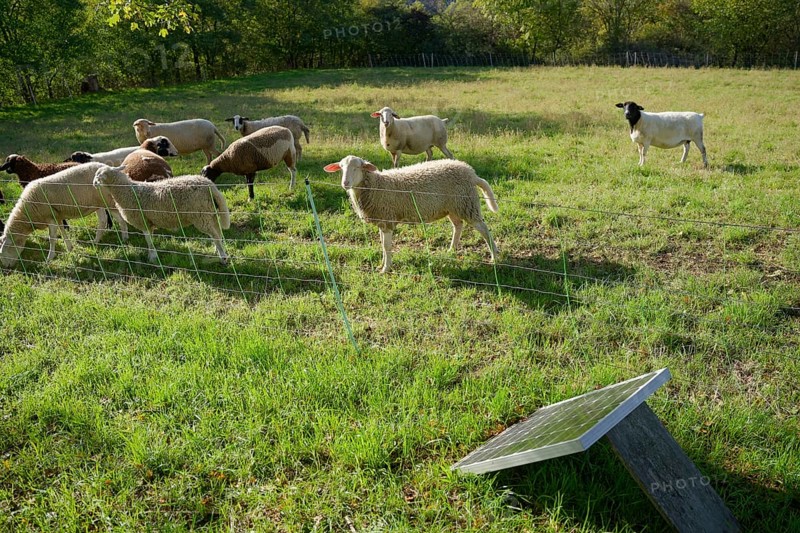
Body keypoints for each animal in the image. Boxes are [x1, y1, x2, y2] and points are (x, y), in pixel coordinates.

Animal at [92, 165, 231, 265]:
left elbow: (148, 240)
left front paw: (152, 258)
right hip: (210, 213)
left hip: (200, 215)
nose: (94, 184)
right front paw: (151, 256)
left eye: (99, 175)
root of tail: (209, 185)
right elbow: (150, 239)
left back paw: (223, 257)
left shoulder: (142, 220)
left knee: (215, 235)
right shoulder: (148, 222)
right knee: (218, 233)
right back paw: (217, 251)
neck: (127, 191)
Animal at [323, 156, 498, 273]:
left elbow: (387, 246)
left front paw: (386, 269)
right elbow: (382, 244)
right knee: (458, 226)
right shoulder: (381, 219)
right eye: (341, 167)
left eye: (357, 167)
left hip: (466, 203)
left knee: (483, 228)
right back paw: (451, 250)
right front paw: (381, 264)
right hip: (452, 206)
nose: (345, 183)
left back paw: (494, 256)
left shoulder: (387, 219)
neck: (375, 186)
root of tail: (471, 173)